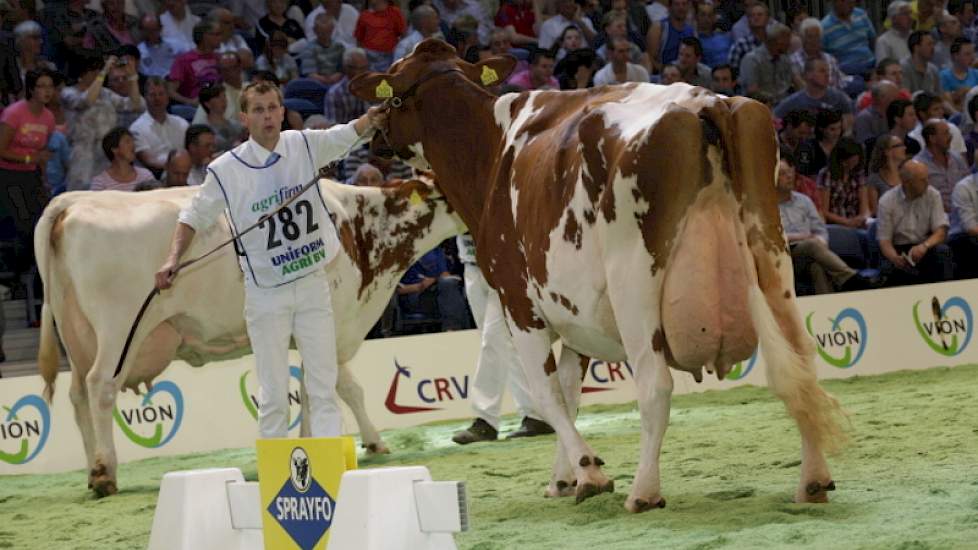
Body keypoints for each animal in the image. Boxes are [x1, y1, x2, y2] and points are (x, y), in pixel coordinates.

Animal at [36, 179, 464, 498]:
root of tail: (76, 200)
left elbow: (326, 389)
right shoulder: (334, 320)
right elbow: (337, 388)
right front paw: (359, 442)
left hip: (76, 335)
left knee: (77, 396)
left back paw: (91, 470)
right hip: (119, 327)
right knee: (100, 387)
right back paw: (105, 472)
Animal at [350, 40, 848, 516]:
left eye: (391, 90)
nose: (373, 136)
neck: (490, 152)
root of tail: (704, 101)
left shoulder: (519, 303)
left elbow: (548, 394)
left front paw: (589, 474)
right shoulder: (575, 319)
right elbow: (570, 394)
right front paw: (563, 479)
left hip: (634, 281)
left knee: (655, 384)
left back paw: (644, 492)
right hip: (773, 258)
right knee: (799, 368)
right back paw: (814, 480)